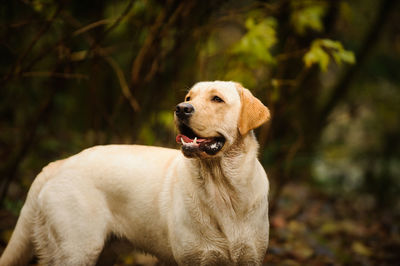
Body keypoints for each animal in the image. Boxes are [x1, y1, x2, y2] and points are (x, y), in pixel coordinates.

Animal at [0, 80, 270, 264]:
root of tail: (58, 164)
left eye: (217, 99)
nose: (181, 108)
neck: (223, 190)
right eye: (188, 96)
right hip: (77, 249)